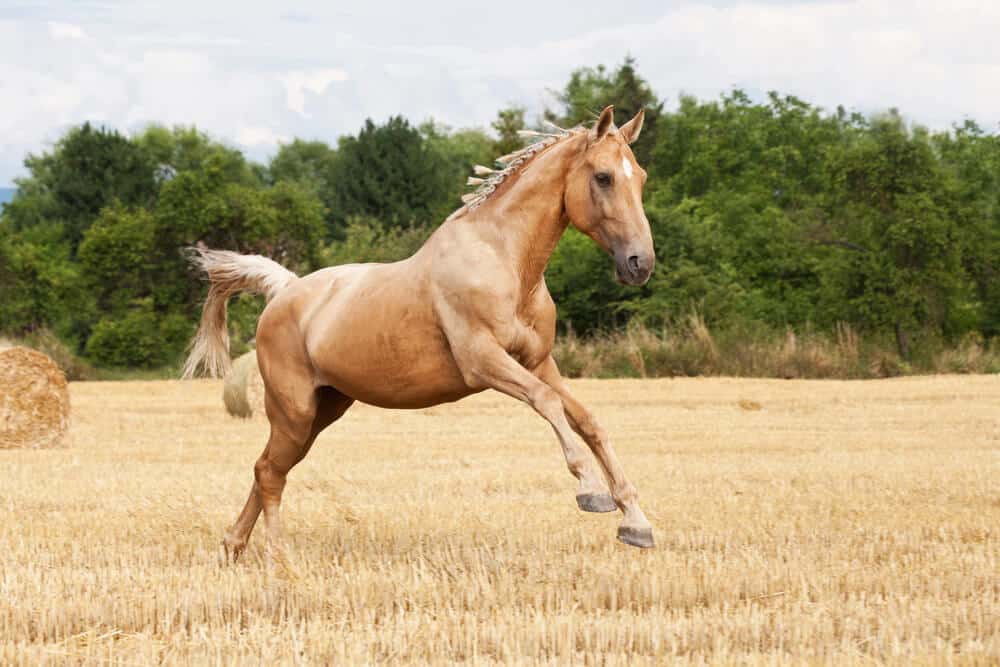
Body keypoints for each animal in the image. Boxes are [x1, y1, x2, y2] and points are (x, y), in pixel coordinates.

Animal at [183, 105, 656, 560]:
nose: (640, 264)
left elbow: (588, 421)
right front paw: (591, 492)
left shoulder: (539, 362)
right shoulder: (483, 361)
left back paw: (234, 547)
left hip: (322, 411)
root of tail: (284, 290)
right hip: (294, 411)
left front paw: (636, 523)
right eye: (603, 176)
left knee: (269, 468)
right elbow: (548, 403)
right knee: (270, 473)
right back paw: (280, 557)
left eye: (641, 177)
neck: (504, 262)